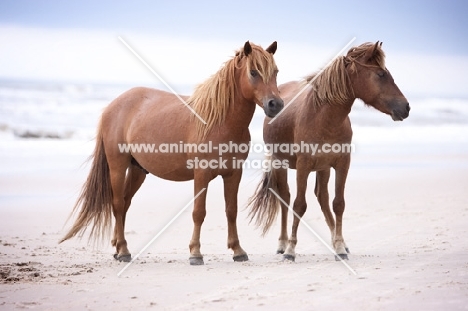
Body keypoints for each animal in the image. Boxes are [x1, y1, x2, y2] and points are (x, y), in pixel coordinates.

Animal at [60, 40, 284, 266]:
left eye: (275, 72)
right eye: (253, 72)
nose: (276, 105)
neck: (220, 122)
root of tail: (112, 106)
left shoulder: (233, 174)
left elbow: (231, 211)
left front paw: (237, 250)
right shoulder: (201, 174)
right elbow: (199, 212)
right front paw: (195, 253)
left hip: (138, 171)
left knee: (124, 204)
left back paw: (117, 247)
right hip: (117, 167)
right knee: (117, 204)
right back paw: (123, 250)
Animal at [249, 40, 410, 260]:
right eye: (380, 74)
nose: (406, 107)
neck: (323, 116)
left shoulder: (342, 163)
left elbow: (338, 204)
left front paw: (340, 247)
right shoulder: (303, 166)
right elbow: (299, 205)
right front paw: (291, 250)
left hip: (323, 167)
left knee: (322, 197)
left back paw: (337, 243)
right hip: (280, 163)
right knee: (285, 198)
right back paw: (282, 244)